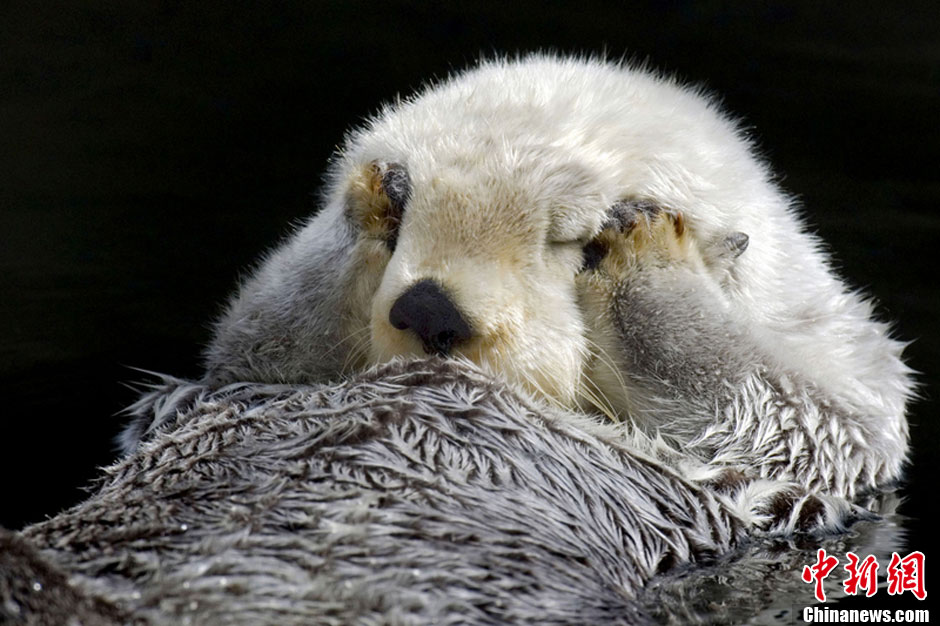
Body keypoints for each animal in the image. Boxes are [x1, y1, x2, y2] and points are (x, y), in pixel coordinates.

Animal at [123, 57, 912, 528]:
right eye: (410, 224)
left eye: (572, 243)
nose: (430, 310)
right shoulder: (238, 376)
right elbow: (253, 340)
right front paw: (372, 196)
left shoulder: (835, 399)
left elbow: (807, 417)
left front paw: (646, 245)